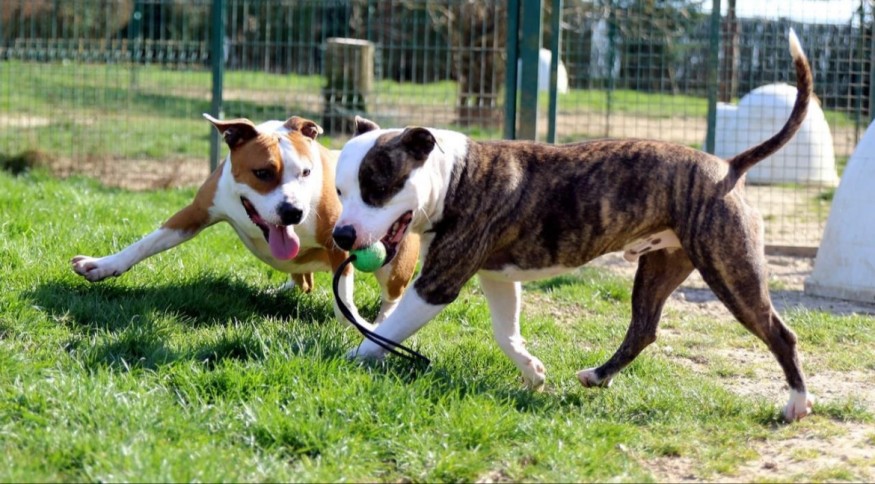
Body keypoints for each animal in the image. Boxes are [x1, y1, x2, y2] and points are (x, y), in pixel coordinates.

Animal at [72, 114, 418, 328]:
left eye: (306, 172)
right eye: (262, 172)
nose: (294, 212)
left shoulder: (337, 245)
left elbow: (343, 296)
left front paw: (355, 324)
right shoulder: (196, 212)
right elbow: (146, 243)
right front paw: (101, 265)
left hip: (394, 265)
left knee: (392, 297)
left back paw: (382, 323)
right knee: (302, 280)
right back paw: (276, 291)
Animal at [330, 31, 814, 421]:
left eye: (377, 187)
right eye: (339, 191)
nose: (341, 235)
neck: (455, 176)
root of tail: (727, 167)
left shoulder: (436, 284)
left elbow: (384, 333)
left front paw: (350, 358)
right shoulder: (496, 277)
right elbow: (505, 332)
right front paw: (531, 372)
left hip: (730, 271)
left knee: (780, 334)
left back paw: (796, 403)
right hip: (659, 267)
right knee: (643, 329)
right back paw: (598, 376)